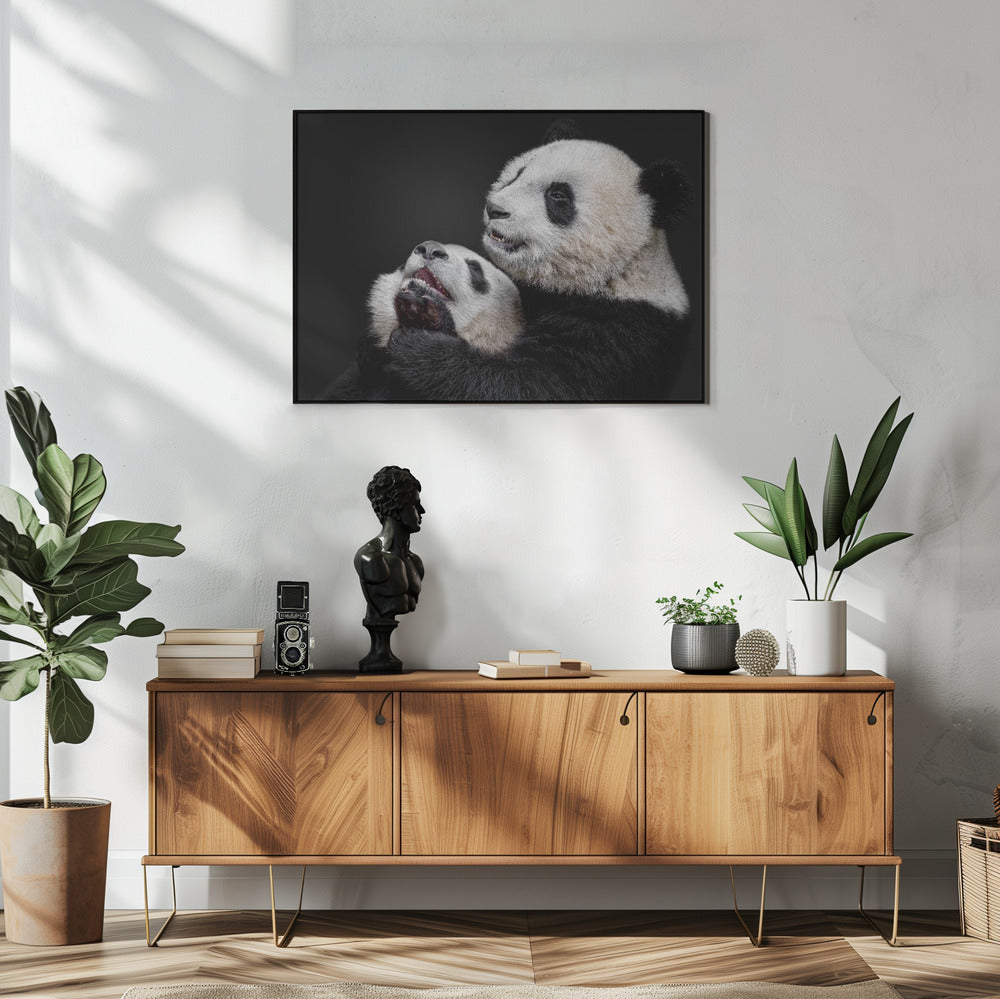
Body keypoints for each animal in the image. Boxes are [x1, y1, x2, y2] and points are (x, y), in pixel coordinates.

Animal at [384, 123, 696, 402]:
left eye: (557, 195)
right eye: (516, 175)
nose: (495, 209)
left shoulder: (620, 332)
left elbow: (533, 385)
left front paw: (421, 338)